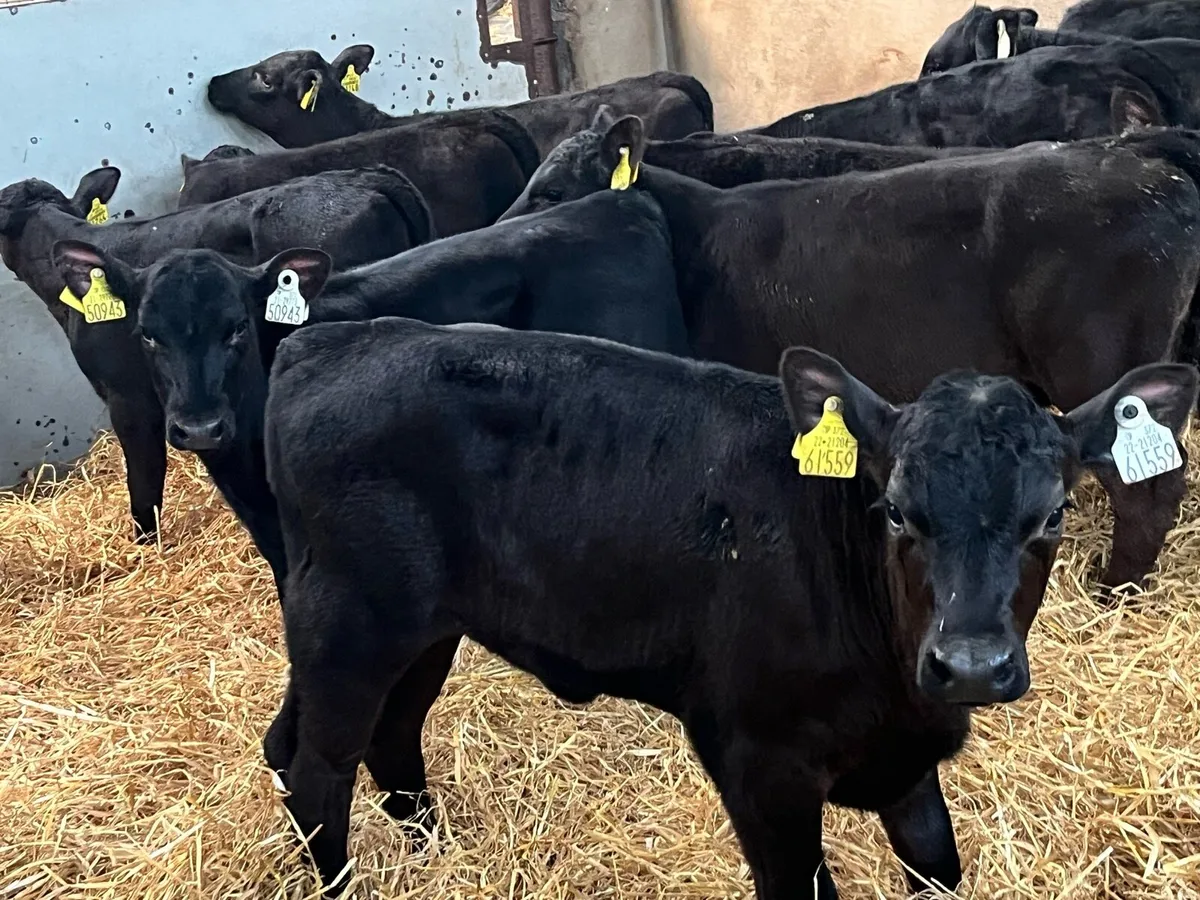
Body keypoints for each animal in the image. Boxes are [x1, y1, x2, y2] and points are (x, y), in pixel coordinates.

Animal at [259, 315, 1198, 896]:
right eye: (896, 509)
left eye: (1055, 513)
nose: (969, 665)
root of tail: (331, 339)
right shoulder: (758, 763)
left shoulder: (906, 762)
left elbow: (937, 861)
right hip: (350, 626)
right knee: (318, 768)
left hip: (424, 630)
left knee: (379, 738)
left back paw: (438, 850)